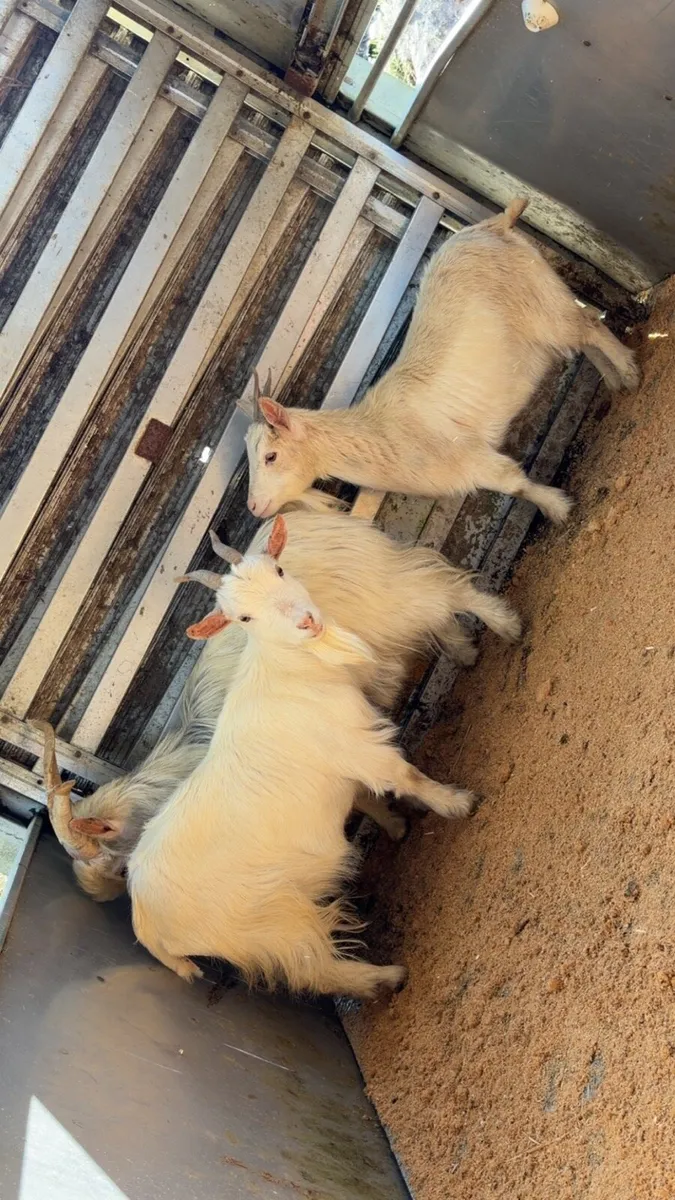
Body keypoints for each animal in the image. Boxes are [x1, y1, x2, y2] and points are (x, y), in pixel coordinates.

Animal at [35, 506, 519, 901]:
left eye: (115, 863)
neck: (177, 768)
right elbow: (365, 796)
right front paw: (397, 827)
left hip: (388, 591)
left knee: (447, 590)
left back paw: (508, 625)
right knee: (439, 613)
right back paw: (465, 652)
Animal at [128, 515, 475, 997]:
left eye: (278, 569)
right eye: (243, 618)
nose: (307, 621)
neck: (288, 673)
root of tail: (146, 925)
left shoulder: (346, 765)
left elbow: (367, 797)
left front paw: (397, 825)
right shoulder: (360, 748)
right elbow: (407, 777)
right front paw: (457, 803)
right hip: (273, 926)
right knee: (317, 969)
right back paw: (386, 978)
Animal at [245, 199, 639, 522]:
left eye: (270, 456)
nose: (253, 506)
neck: (382, 434)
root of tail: (496, 223)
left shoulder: (471, 457)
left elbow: (515, 484)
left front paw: (559, 508)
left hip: (541, 302)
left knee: (588, 325)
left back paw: (630, 372)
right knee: (584, 337)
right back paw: (614, 380)